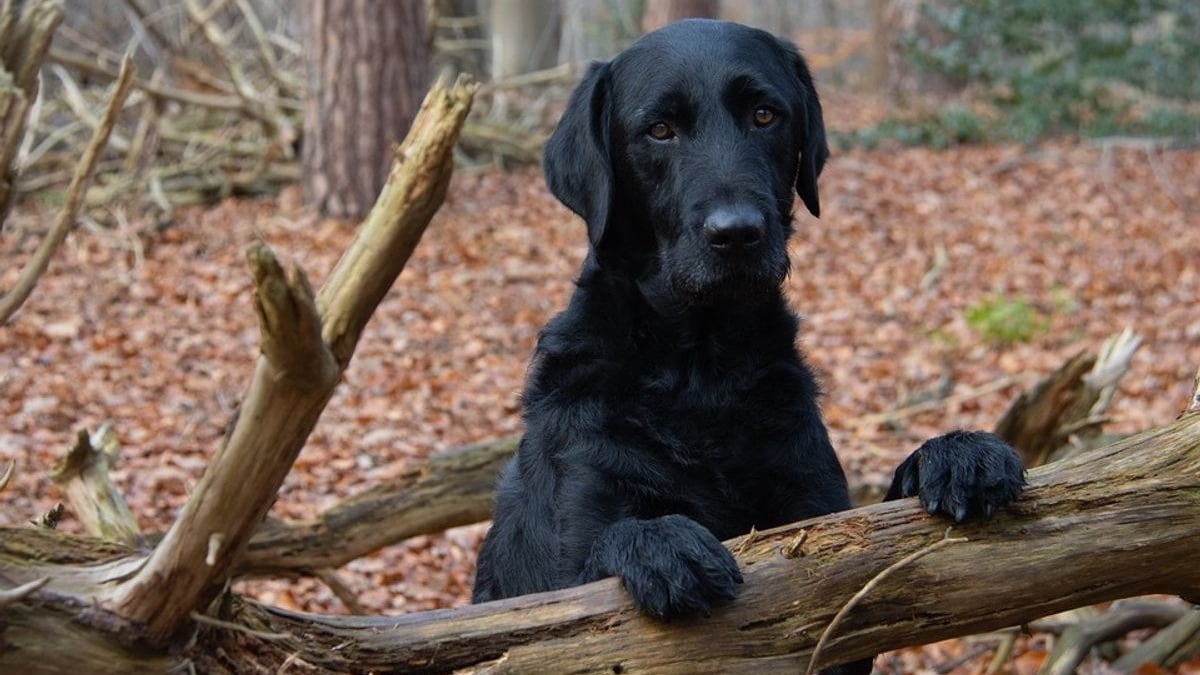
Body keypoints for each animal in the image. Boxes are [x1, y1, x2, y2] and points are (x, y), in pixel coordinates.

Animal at [472, 18, 1027, 662]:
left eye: (765, 115)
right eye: (659, 130)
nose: (736, 233)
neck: (701, 370)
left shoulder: (819, 515)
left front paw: (956, 453)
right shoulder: (571, 544)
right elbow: (593, 569)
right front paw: (659, 542)